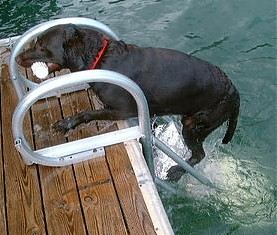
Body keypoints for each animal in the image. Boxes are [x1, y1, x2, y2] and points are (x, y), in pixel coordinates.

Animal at [16, 23, 238, 181]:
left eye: (41, 46)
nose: (17, 57)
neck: (100, 58)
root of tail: (234, 92)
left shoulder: (121, 110)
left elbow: (88, 113)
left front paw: (67, 123)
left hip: (194, 124)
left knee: (199, 155)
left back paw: (176, 171)